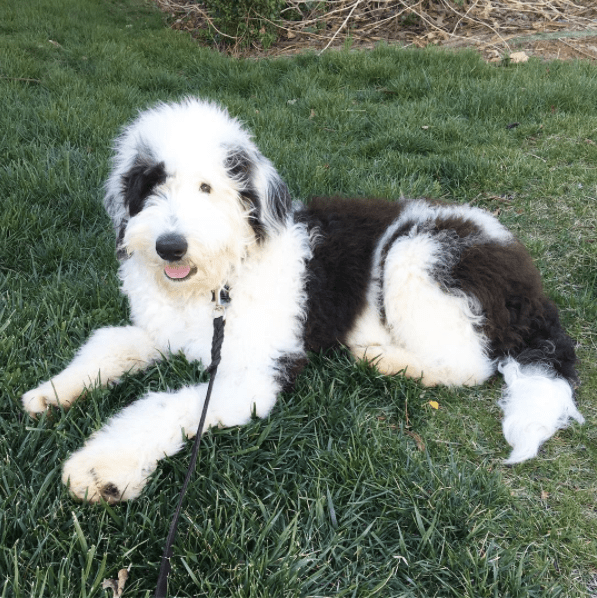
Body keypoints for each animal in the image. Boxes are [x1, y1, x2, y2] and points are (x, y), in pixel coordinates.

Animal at [22, 101, 584, 504]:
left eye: (207, 187)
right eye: (151, 184)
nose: (170, 246)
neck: (219, 282)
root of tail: (530, 285)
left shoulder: (255, 372)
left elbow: (163, 405)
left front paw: (103, 468)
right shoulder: (159, 329)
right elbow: (108, 343)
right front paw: (52, 392)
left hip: (418, 253)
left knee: (470, 364)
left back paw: (388, 360)